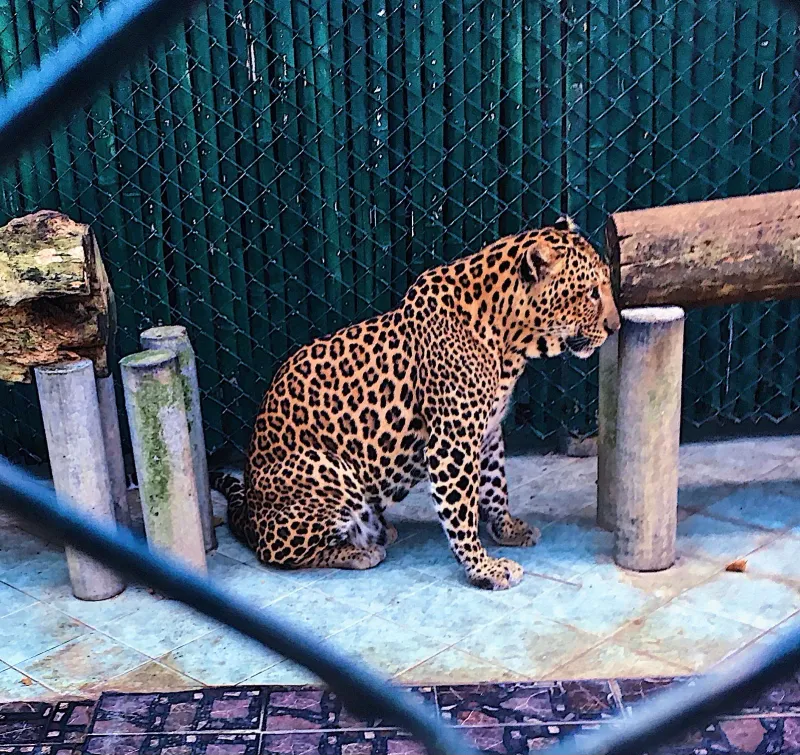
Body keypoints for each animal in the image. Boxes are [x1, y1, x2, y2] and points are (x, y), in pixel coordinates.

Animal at [210, 217, 620, 590]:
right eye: (591, 292)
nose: (615, 327)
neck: (511, 341)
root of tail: (250, 514)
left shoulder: (488, 432)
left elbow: (495, 485)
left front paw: (506, 528)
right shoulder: (452, 442)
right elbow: (462, 511)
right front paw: (483, 568)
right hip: (326, 469)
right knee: (275, 552)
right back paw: (359, 551)